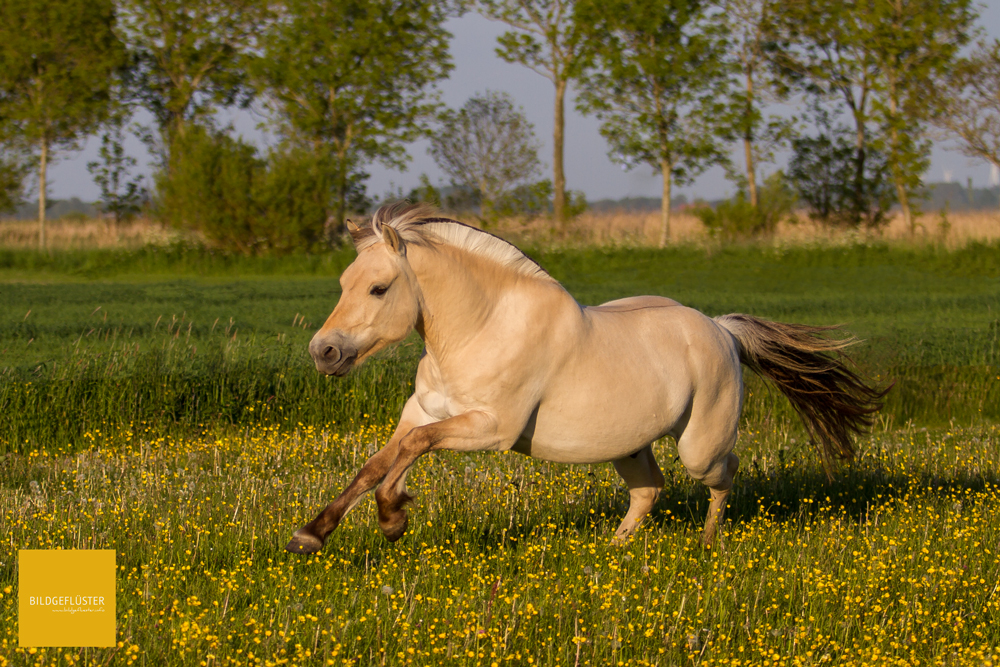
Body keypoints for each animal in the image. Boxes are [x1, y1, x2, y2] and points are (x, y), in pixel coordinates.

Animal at [286, 202, 888, 552]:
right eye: (343, 282)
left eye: (378, 288)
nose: (324, 352)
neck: (483, 327)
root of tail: (721, 330)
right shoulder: (424, 412)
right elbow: (380, 461)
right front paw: (312, 533)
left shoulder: (491, 429)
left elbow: (412, 449)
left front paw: (392, 517)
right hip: (629, 445)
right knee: (649, 490)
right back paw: (614, 552)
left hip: (699, 445)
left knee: (724, 474)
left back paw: (707, 546)